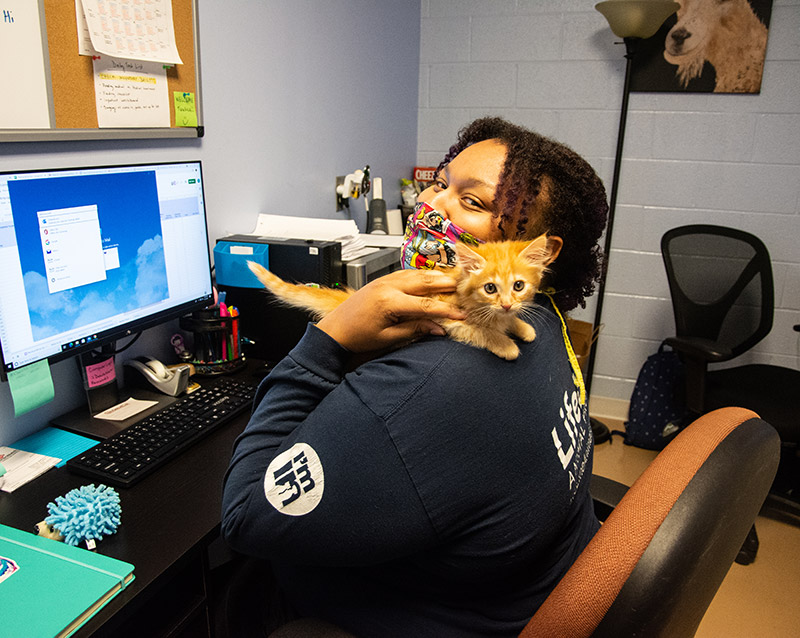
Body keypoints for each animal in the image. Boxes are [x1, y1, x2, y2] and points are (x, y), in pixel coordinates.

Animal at [250, 235, 556, 360]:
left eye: (518, 286)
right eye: (490, 288)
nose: (506, 304)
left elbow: (507, 321)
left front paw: (521, 327)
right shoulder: (448, 317)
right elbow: (481, 331)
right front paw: (506, 344)